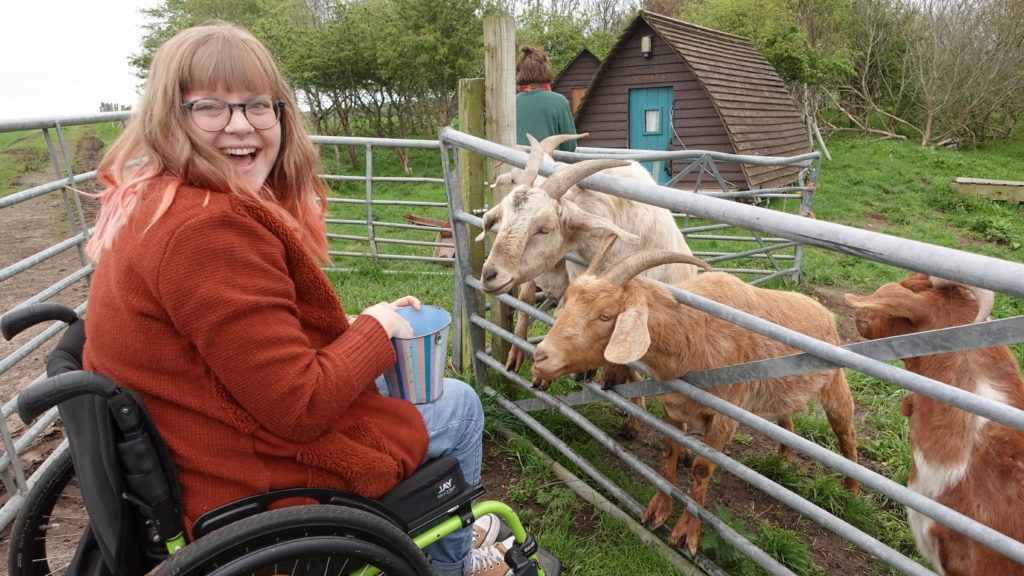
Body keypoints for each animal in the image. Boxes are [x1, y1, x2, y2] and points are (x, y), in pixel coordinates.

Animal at [532, 237, 860, 553]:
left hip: (835, 384)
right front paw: (658, 511)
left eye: (604, 315)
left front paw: (687, 534)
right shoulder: (674, 406)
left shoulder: (724, 416)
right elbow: (669, 451)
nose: (540, 357)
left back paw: (851, 491)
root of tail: (824, 312)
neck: (692, 335)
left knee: (846, 430)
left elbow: (702, 468)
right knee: (786, 419)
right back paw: (783, 459)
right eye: (568, 303)